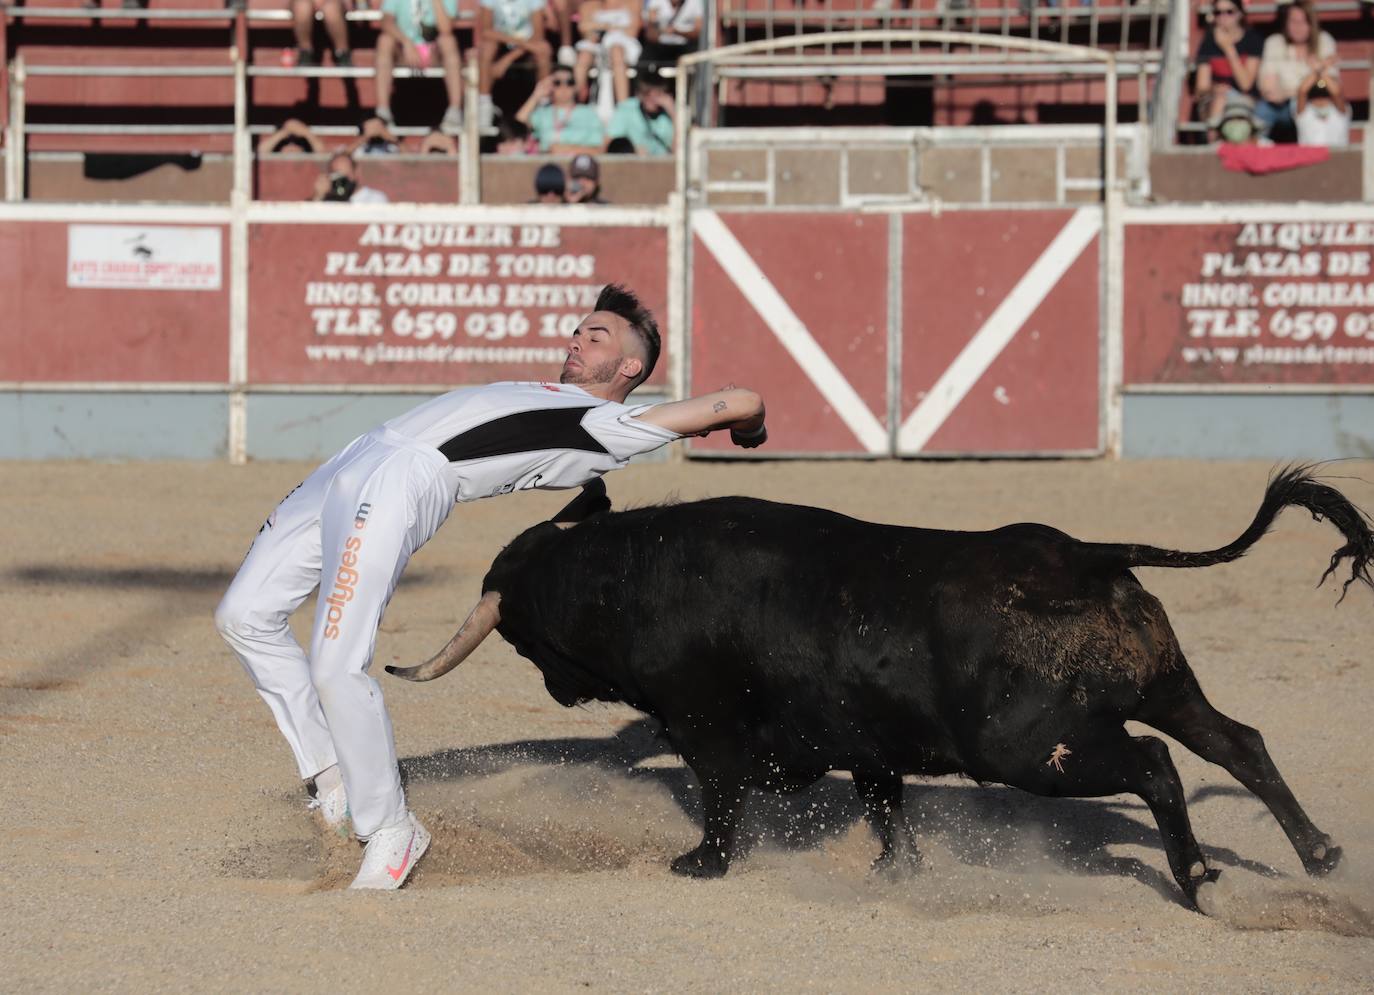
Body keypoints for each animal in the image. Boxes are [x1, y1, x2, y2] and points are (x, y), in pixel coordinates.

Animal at [390, 467, 1374, 907]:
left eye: (522, 638)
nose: (559, 692)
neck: (631, 576)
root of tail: (1081, 554)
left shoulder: (708, 729)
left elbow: (721, 797)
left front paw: (701, 863)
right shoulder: (867, 743)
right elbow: (884, 805)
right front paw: (897, 874)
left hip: (1030, 748)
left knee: (1158, 766)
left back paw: (1198, 872)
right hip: (1163, 685)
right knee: (1235, 740)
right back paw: (1320, 852)